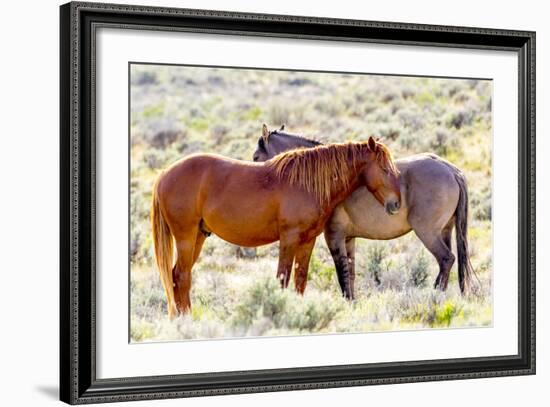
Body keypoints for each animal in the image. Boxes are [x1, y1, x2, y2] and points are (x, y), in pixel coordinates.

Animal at [153, 132, 404, 320]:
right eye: (384, 169)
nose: (396, 204)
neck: (306, 183)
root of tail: (164, 174)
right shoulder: (289, 239)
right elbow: (282, 278)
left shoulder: (308, 240)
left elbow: (300, 279)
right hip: (185, 237)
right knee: (182, 276)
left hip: (198, 237)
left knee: (177, 276)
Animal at [256, 124, 476, 300]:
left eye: (256, 157)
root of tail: (451, 170)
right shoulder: (348, 238)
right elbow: (351, 274)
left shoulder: (334, 236)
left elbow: (342, 274)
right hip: (445, 231)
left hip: (427, 233)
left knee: (446, 259)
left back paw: (434, 294)